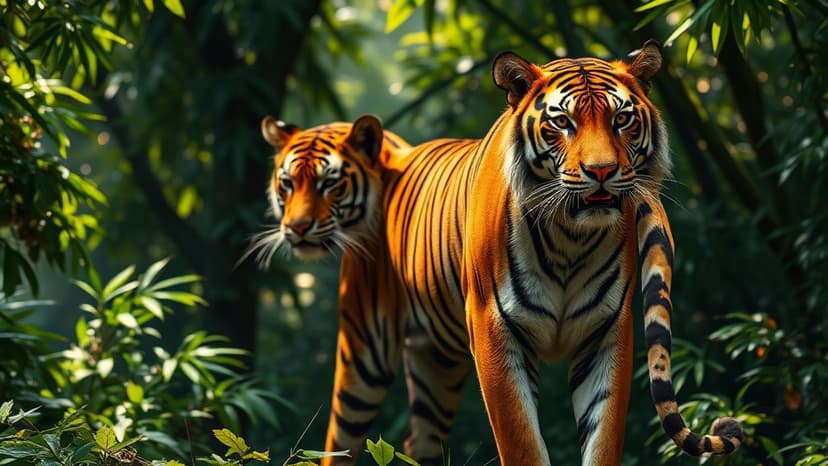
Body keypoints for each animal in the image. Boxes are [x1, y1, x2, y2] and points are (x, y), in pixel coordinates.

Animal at [321, 41, 744, 465]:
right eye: (563, 122)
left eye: (622, 119)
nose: (602, 171)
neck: (571, 239)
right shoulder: (495, 329)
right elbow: (522, 442)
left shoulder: (607, 332)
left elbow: (603, 438)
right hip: (364, 354)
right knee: (339, 440)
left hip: (436, 363)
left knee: (419, 439)